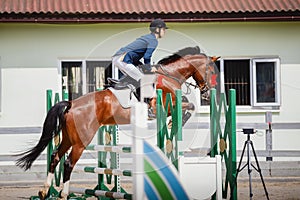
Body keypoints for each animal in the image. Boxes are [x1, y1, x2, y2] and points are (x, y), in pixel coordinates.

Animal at [15, 45, 218, 200]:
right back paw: (63, 194)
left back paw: (44, 192)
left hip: (68, 138)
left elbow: (188, 105)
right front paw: (173, 124)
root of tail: (72, 104)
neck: (170, 75)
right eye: (210, 71)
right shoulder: (167, 105)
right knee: (68, 163)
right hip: (81, 141)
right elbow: (189, 106)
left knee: (55, 156)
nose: (208, 93)